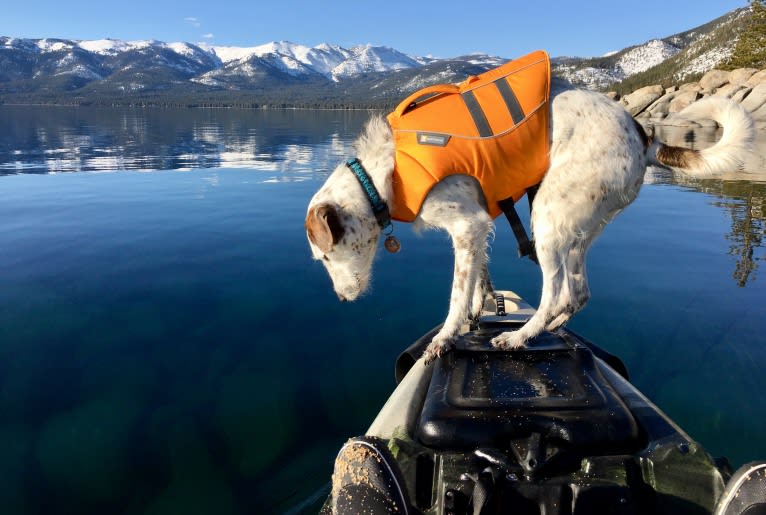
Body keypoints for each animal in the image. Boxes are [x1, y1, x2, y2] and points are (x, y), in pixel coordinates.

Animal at [306, 72, 756, 364]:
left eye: (326, 257)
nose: (341, 299)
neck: (381, 175)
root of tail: (642, 134)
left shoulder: (467, 225)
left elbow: (456, 296)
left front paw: (446, 337)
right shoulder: (477, 229)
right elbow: (478, 283)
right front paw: (477, 312)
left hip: (548, 216)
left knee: (555, 290)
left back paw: (520, 336)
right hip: (578, 229)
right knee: (578, 293)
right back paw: (549, 328)